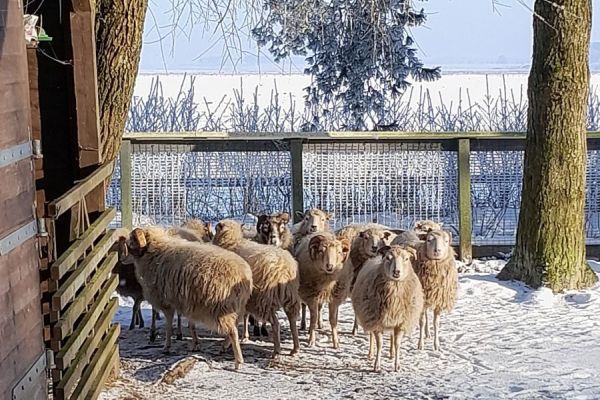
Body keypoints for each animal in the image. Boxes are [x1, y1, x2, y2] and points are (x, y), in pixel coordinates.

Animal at [115, 227, 253, 370]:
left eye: (131, 243)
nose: (122, 259)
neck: (155, 253)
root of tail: (244, 274)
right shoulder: (189, 301)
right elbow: (191, 325)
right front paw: (195, 344)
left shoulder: (167, 302)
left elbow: (169, 325)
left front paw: (167, 347)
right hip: (235, 306)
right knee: (235, 325)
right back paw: (225, 346)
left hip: (221, 308)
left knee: (232, 331)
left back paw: (238, 361)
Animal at [213, 219, 302, 356]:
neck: (232, 242)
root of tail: (284, 269)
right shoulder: (245, 298)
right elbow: (243, 316)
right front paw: (243, 337)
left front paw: (227, 343)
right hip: (291, 296)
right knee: (292, 320)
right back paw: (295, 348)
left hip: (264, 299)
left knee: (275, 323)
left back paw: (276, 350)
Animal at [352, 245, 426, 374]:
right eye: (388, 258)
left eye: (406, 258)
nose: (396, 272)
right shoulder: (376, 321)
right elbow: (380, 344)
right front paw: (377, 365)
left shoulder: (400, 323)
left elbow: (397, 344)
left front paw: (397, 365)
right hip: (369, 315)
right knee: (371, 336)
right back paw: (370, 354)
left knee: (391, 337)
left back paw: (391, 353)